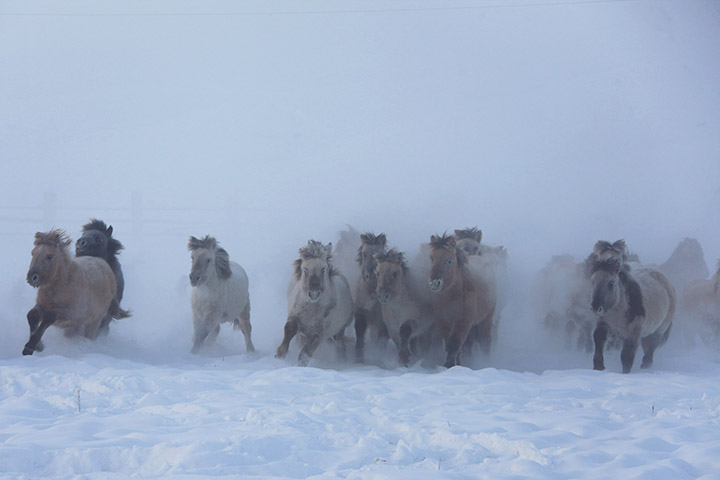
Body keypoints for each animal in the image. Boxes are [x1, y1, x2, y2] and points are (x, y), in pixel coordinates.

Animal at [428, 232, 496, 368]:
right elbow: (451, 343)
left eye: (449, 260)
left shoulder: (463, 320)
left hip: (486, 318)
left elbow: (454, 343)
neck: (453, 296)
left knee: (485, 340)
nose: (434, 282)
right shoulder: (443, 320)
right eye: (431, 258)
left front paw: (450, 365)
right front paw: (456, 365)